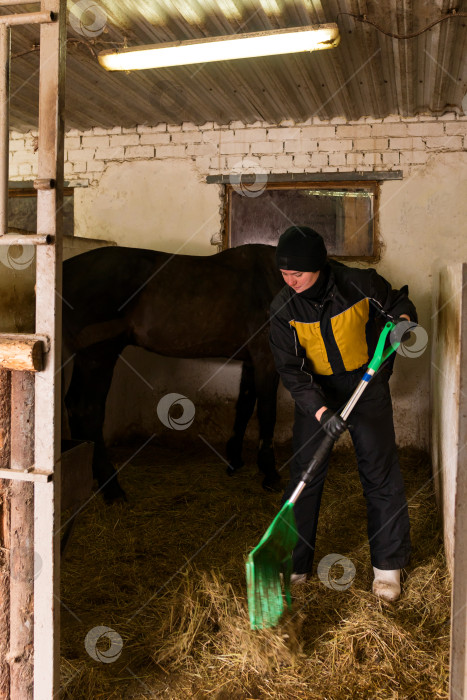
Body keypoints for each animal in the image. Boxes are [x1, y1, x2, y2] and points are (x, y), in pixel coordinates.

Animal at [63, 243, 284, 500]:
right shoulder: (266, 359)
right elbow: (267, 413)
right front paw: (270, 473)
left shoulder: (251, 362)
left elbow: (245, 407)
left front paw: (235, 460)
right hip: (98, 356)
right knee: (87, 410)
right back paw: (112, 488)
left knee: (74, 405)